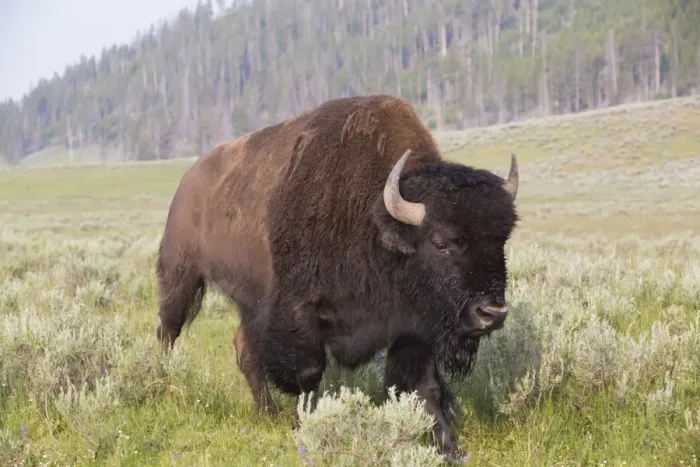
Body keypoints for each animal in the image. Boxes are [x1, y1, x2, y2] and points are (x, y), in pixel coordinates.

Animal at [155, 94, 519, 458]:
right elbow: (308, 375)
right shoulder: (299, 314)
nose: (492, 313)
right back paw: (165, 389)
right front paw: (304, 425)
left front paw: (449, 448)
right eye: (440, 242)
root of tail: (190, 179)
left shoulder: (413, 326)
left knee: (244, 348)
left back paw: (267, 412)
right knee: (168, 331)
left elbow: (424, 387)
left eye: (502, 240)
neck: (375, 222)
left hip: (250, 301)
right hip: (181, 276)